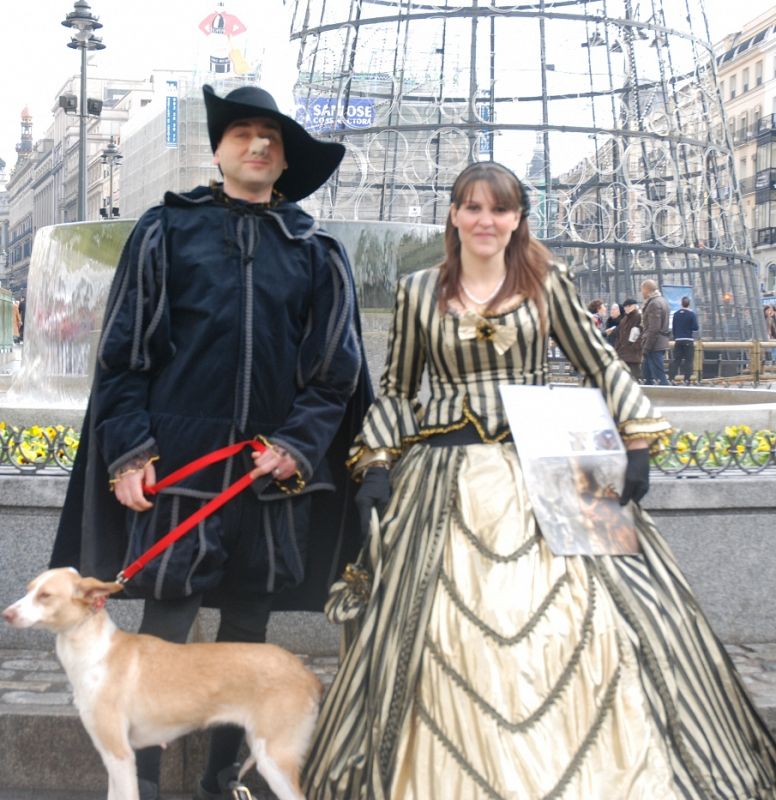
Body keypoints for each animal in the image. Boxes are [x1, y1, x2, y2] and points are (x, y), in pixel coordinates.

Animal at [1, 568, 322, 800]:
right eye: (28, 589)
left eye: (45, 595)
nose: (6, 614)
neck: (95, 651)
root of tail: (306, 673)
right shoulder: (110, 754)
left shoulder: (120, 754)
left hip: (274, 759)